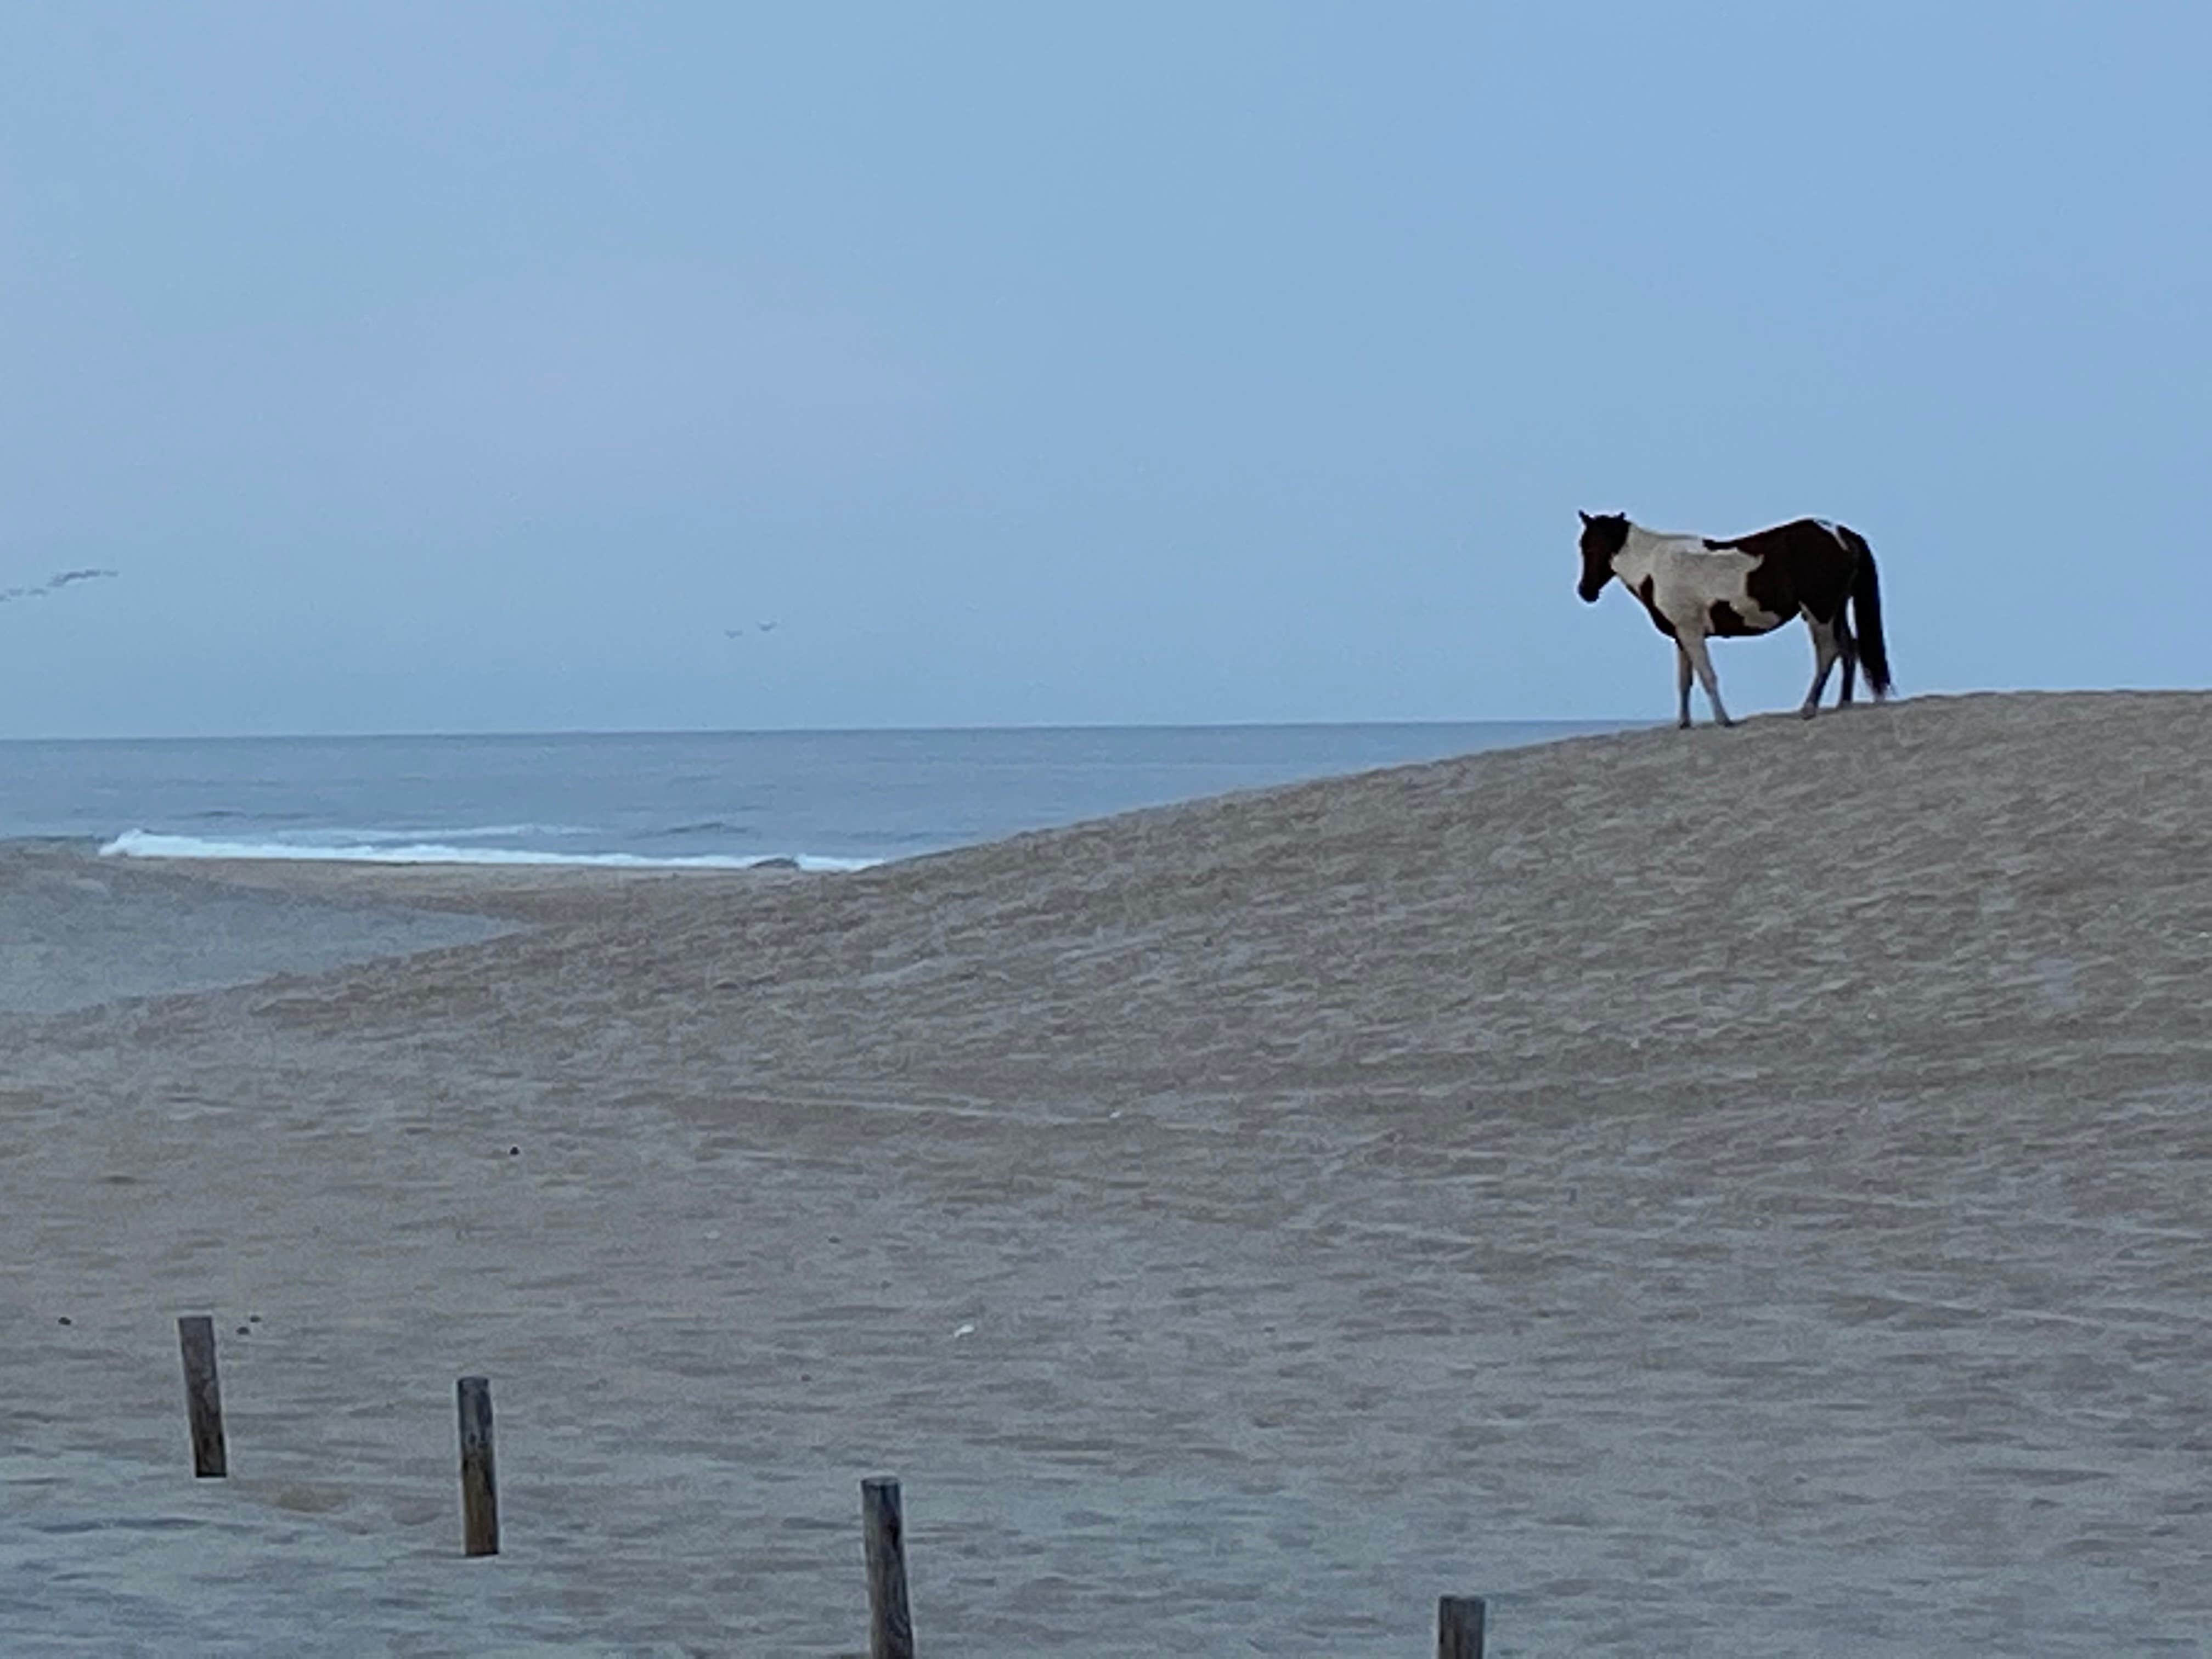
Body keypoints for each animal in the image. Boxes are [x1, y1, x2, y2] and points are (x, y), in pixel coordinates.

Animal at [1576, 512, 1892, 729]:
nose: (1585, 592)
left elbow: (1707, 676)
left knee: (1829, 652)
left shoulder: (1691, 633)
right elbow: (1684, 681)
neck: (1655, 566)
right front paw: (1684, 724)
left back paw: (1809, 708)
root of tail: (1841, 533)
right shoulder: (1681, 636)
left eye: (1589, 547)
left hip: (1819, 612)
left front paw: (1723, 720)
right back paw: (1843, 705)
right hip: (1835, 610)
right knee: (1850, 648)